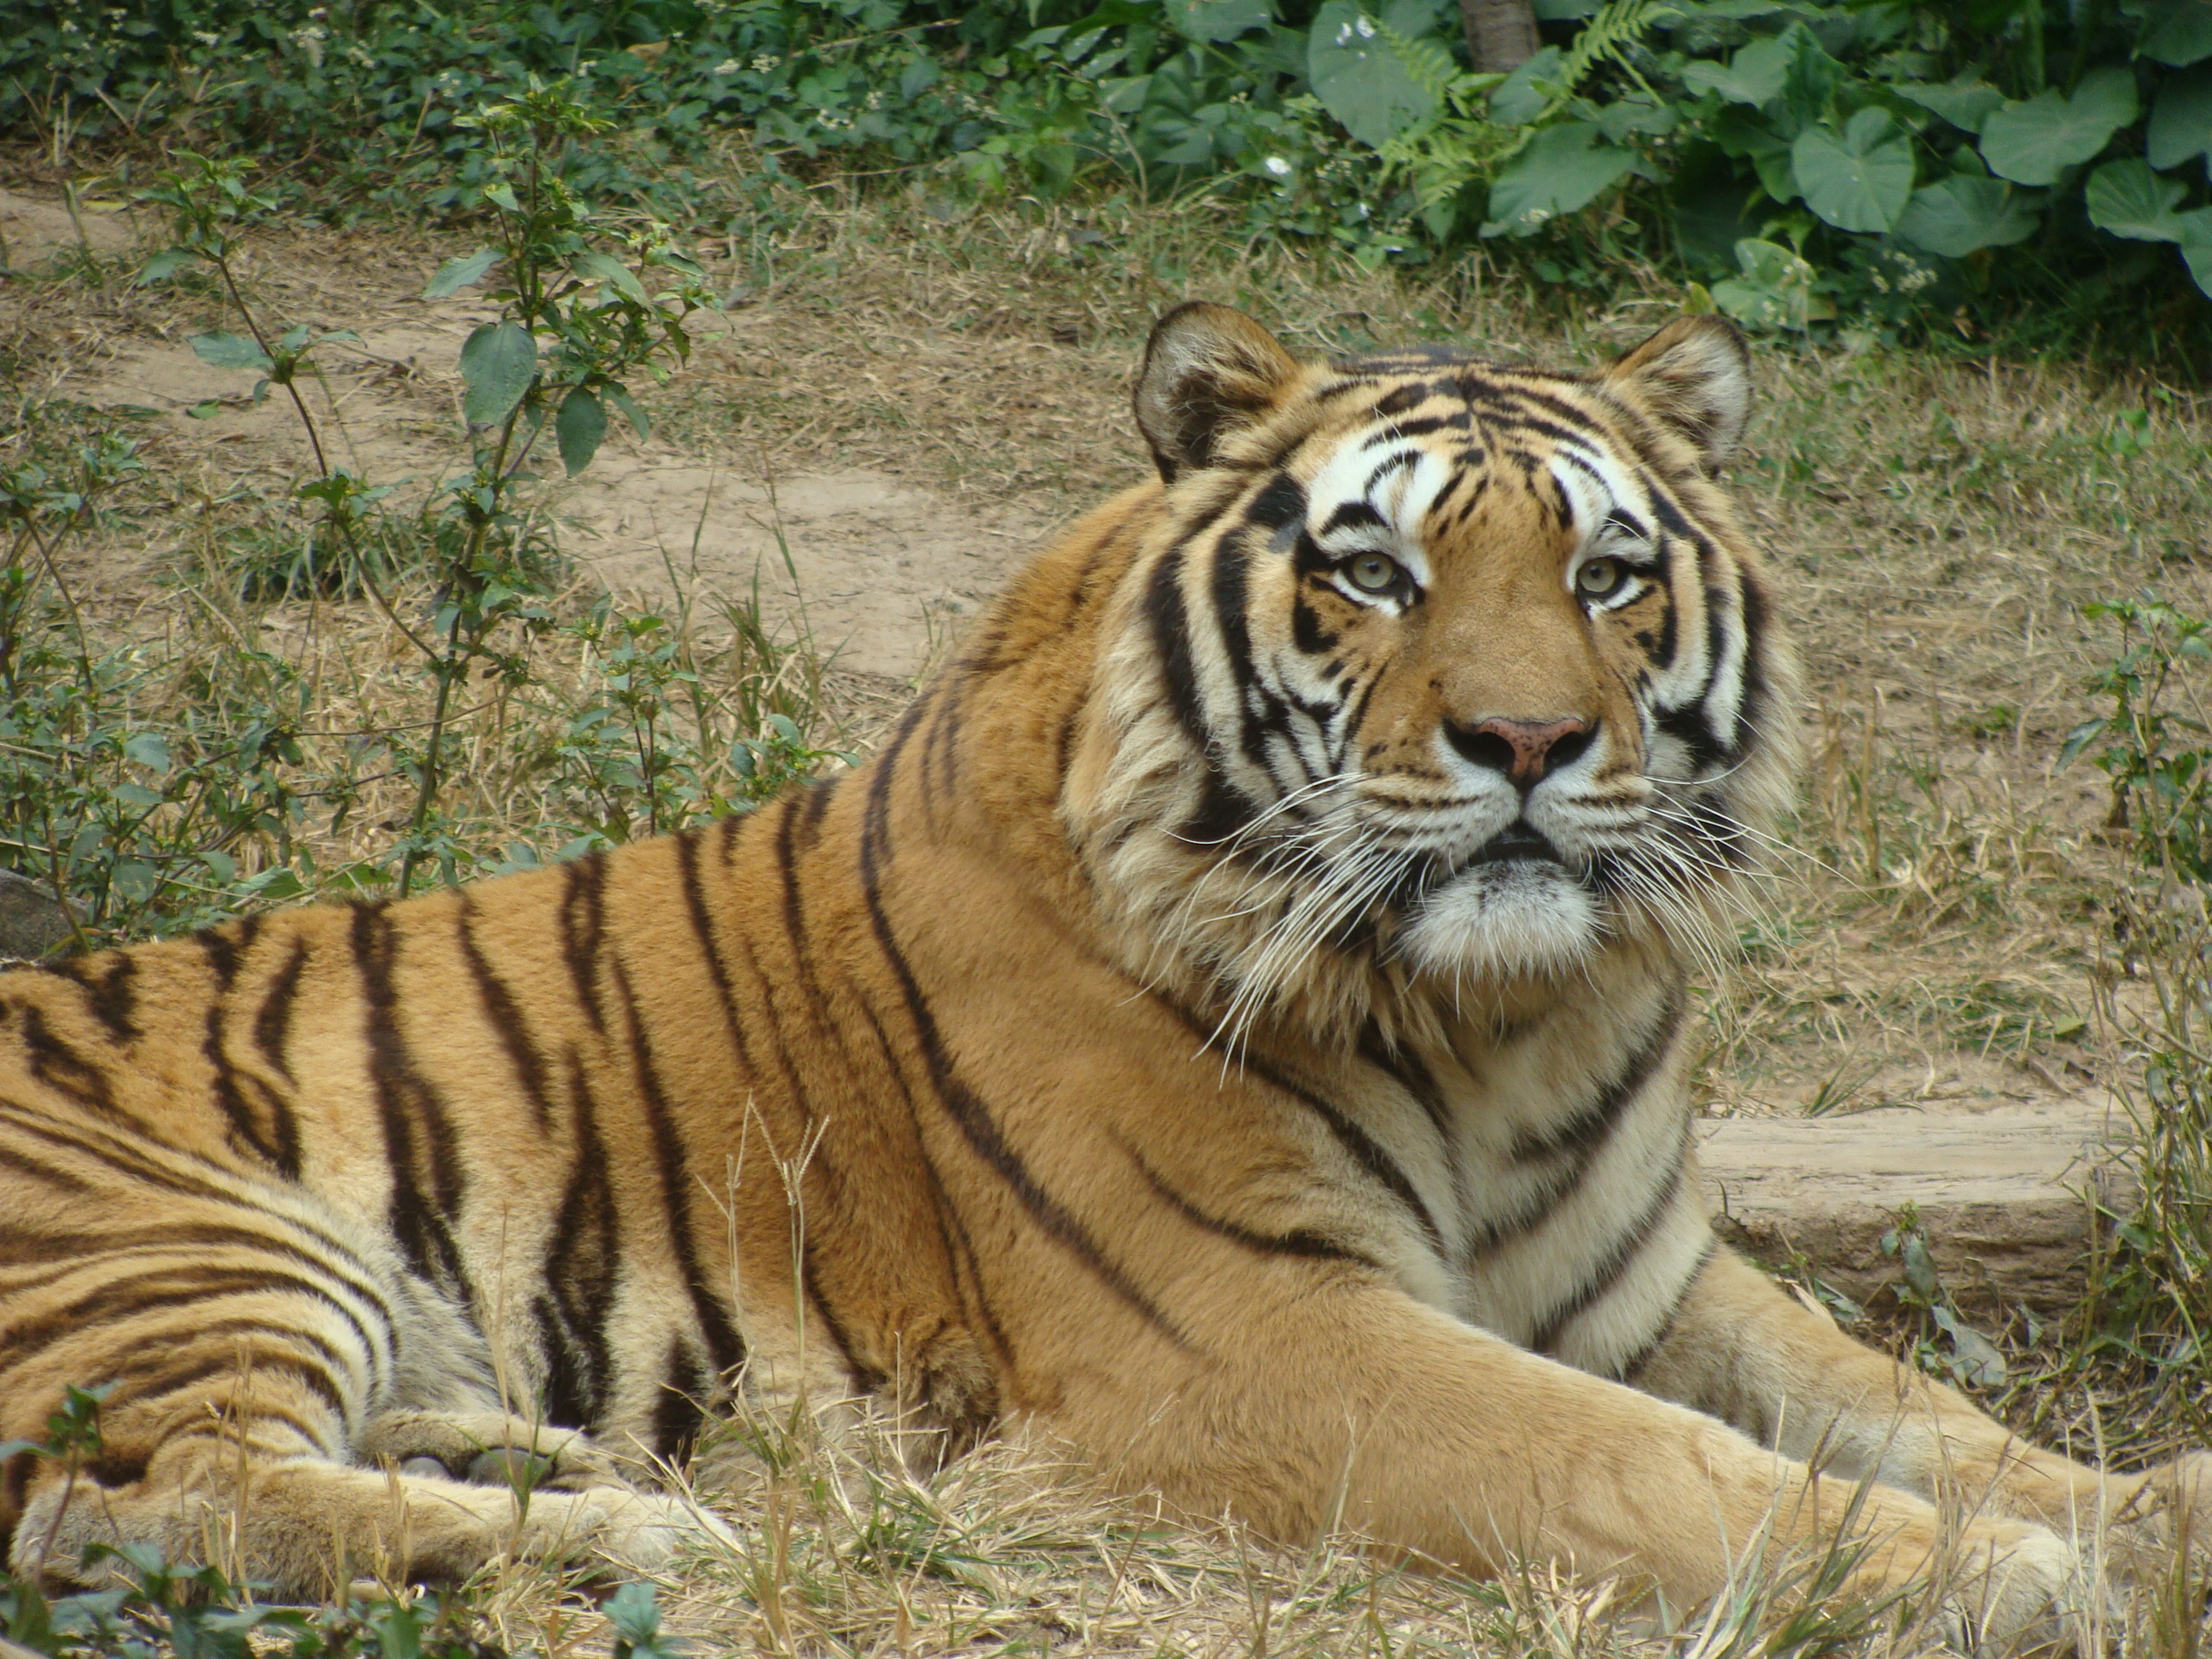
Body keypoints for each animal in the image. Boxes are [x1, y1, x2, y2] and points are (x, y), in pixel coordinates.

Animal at [1, 302, 2203, 1636]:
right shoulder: (1258, 1337)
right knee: (160, 1496)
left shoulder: (1645, 1285)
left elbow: (1908, 1405)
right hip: (196, 1245)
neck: (1500, 1015)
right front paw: (2016, 1579)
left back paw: (545, 1459)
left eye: (1608, 572)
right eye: (1375, 569)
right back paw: (631, 1527)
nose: (1524, 741)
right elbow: (1657, 1470)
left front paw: (2148, 1512)